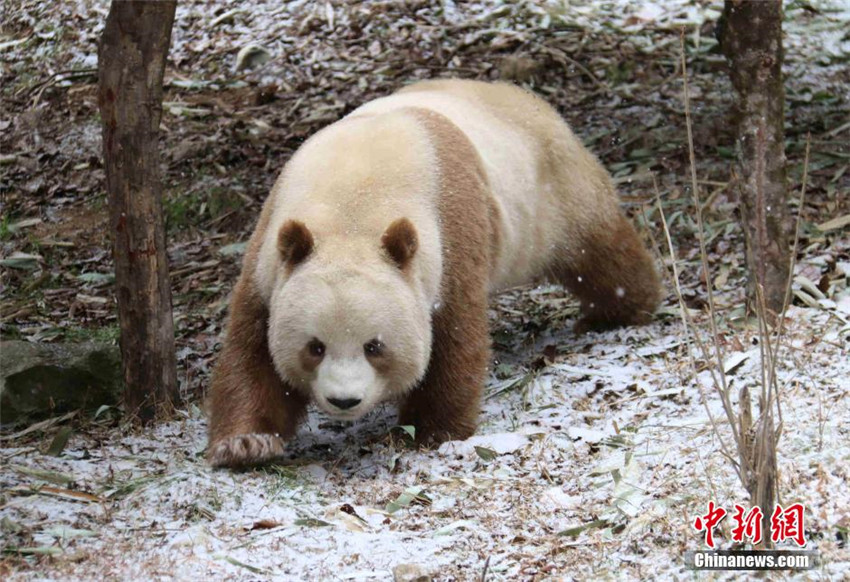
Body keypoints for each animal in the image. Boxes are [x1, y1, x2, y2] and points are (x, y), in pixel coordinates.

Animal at [207, 79, 661, 468]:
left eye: (374, 346)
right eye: (314, 347)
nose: (344, 401)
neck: (352, 204)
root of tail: (521, 95)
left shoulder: (448, 230)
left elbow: (453, 337)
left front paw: (428, 431)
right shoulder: (271, 250)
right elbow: (253, 352)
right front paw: (247, 444)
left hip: (552, 188)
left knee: (598, 251)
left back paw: (622, 310)